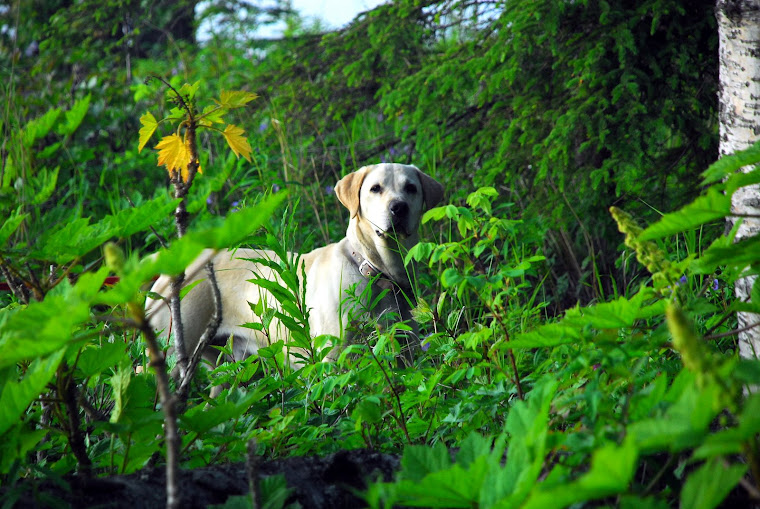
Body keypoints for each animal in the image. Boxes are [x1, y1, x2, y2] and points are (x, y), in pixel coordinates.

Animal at [145, 165, 446, 376]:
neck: (375, 271)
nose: (398, 207)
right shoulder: (333, 357)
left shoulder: (406, 352)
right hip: (168, 355)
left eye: (410, 188)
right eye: (375, 188)